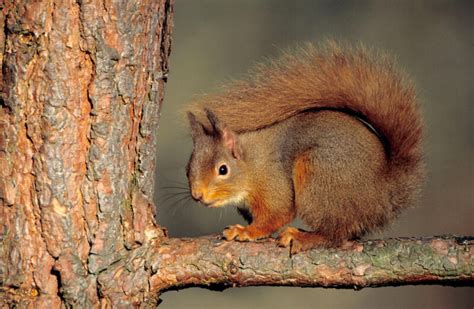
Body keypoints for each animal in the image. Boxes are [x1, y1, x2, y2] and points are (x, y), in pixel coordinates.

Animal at [183, 42, 424, 253]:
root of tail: (385, 191)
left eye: (223, 169)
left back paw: (302, 237)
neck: (251, 165)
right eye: (187, 169)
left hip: (319, 178)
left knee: (334, 234)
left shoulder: (272, 182)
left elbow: (276, 215)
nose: (197, 195)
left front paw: (247, 231)